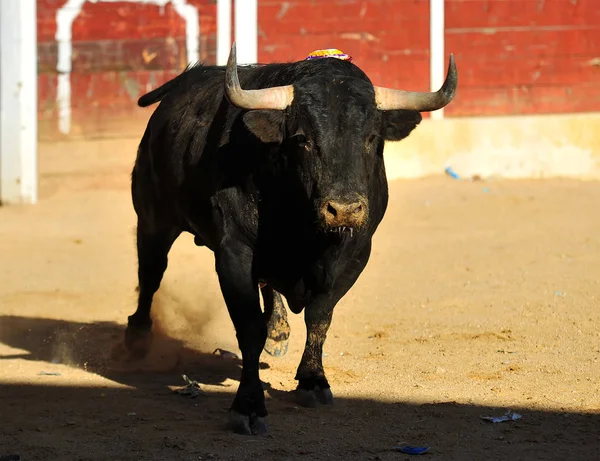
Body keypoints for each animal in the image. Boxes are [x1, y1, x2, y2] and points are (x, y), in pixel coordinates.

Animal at [124, 44, 458, 434]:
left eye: (372, 138)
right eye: (303, 140)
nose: (344, 210)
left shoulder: (355, 254)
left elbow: (319, 316)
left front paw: (313, 381)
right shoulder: (234, 251)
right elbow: (248, 327)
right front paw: (248, 406)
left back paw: (279, 331)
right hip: (153, 218)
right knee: (151, 273)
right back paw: (137, 338)